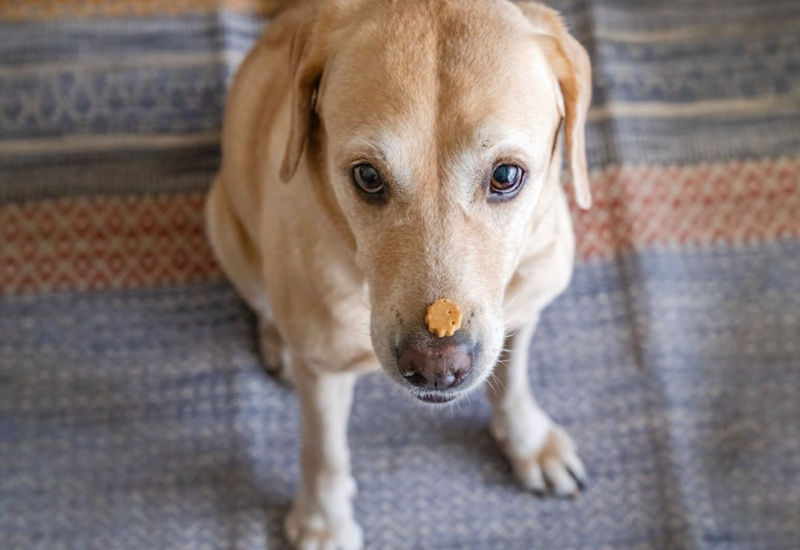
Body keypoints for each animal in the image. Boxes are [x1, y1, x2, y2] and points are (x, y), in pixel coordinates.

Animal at [206, 2, 592, 548]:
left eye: (506, 176)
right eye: (368, 176)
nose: (436, 366)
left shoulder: (525, 308)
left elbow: (513, 380)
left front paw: (529, 443)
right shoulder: (322, 373)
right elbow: (323, 451)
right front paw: (324, 522)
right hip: (222, 223)